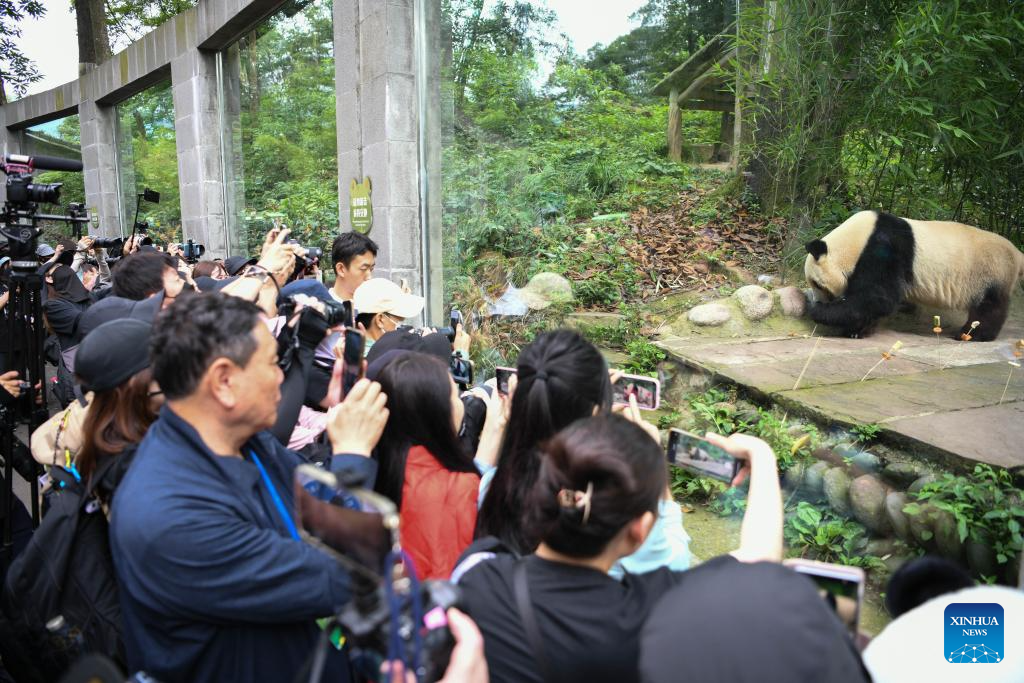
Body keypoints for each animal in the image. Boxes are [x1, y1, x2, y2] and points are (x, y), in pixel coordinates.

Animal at [802, 210, 1019, 342]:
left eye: (818, 284)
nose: (820, 300)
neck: (856, 240)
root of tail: (1018, 254)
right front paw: (857, 329)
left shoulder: (884, 250)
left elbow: (877, 298)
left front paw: (821, 312)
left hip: (990, 272)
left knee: (989, 307)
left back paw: (971, 334)